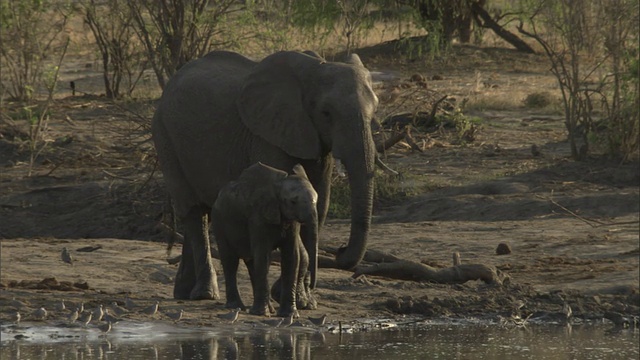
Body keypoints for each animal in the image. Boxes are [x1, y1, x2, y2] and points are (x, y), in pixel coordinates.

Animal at [152, 49, 378, 300]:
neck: (314, 69)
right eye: (326, 113)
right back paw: (205, 294)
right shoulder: (268, 136)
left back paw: (184, 293)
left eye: (374, 111)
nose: (340, 250)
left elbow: (319, 204)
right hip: (164, 137)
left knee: (204, 210)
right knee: (193, 212)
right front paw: (292, 297)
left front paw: (297, 297)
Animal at [211, 162, 318, 316]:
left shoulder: (292, 221)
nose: (313, 285)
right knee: (230, 261)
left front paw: (290, 315)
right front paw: (261, 314)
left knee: (252, 263)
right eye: (293, 201)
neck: (279, 185)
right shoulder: (258, 217)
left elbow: (292, 257)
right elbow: (263, 255)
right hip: (219, 222)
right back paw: (237, 306)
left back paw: (269, 309)